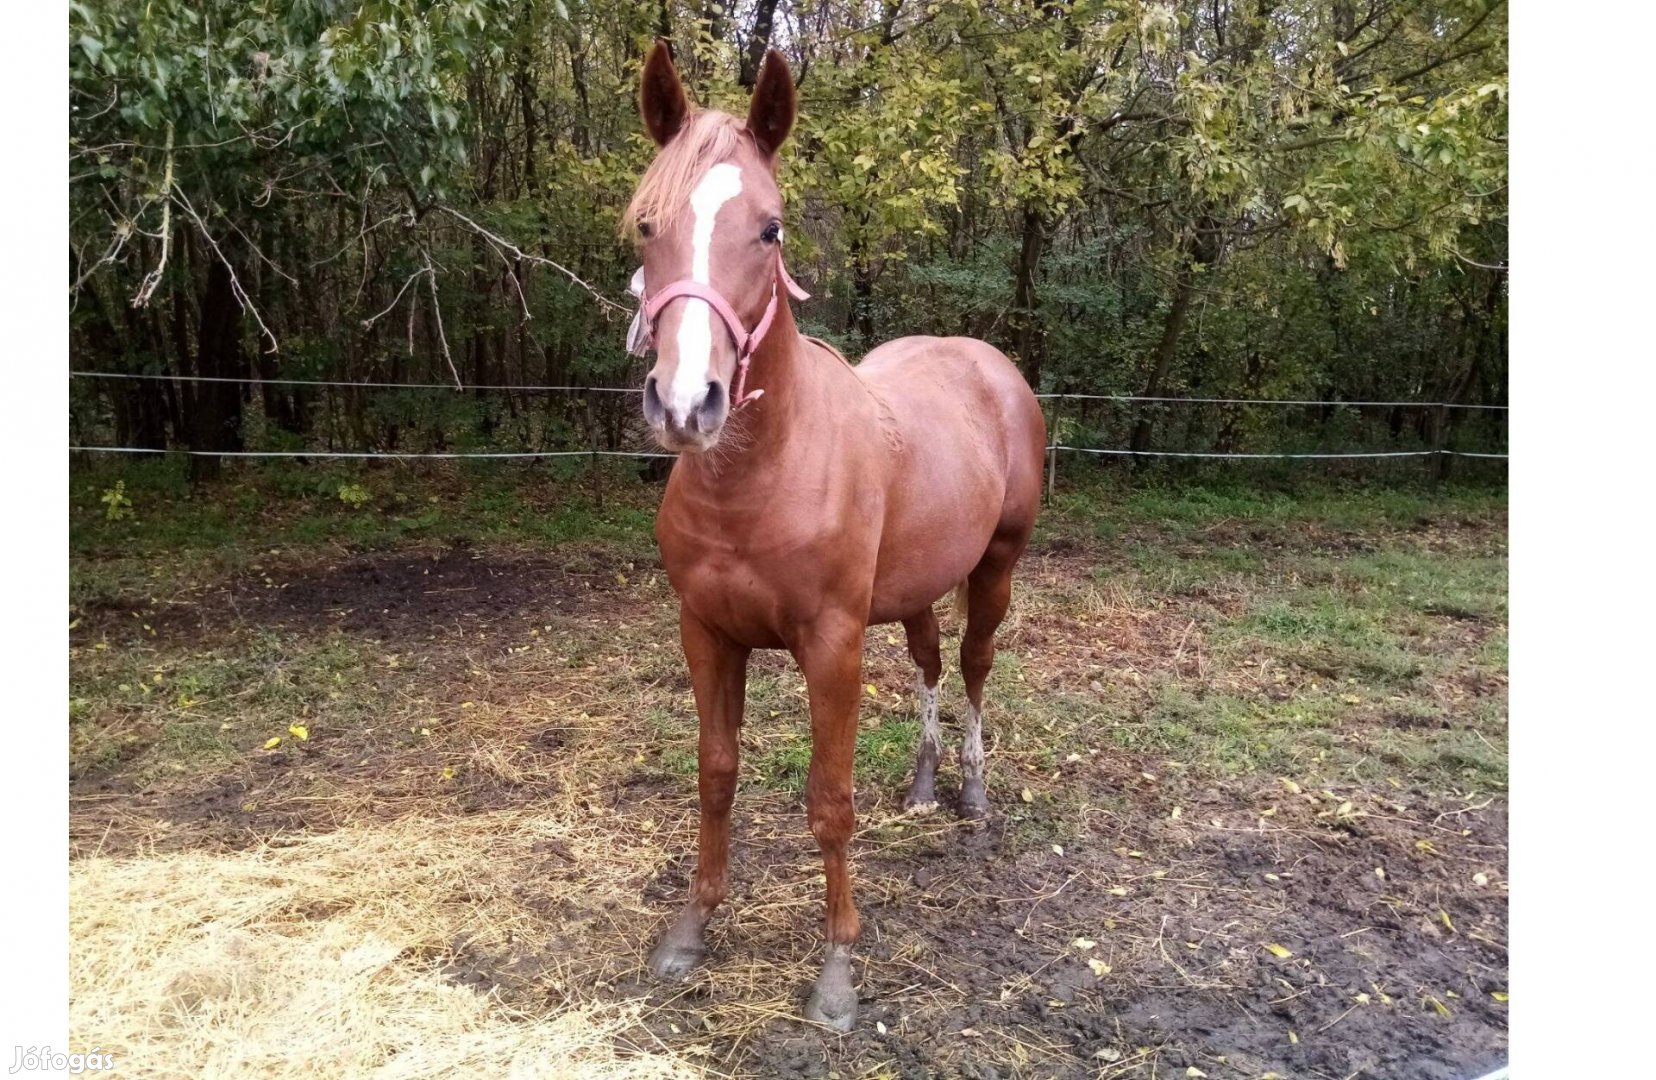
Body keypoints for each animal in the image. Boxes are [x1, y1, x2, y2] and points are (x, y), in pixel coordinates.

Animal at [625, 44, 1039, 1026]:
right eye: (645, 224)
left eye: (770, 230)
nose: (686, 404)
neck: (762, 474)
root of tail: (989, 364)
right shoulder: (706, 633)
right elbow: (716, 773)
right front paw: (691, 929)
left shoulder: (832, 644)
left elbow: (830, 800)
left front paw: (838, 971)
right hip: (917, 587)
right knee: (929, 663)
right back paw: (923, 786)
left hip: (998, 566)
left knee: (973, 667)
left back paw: (971, 792)